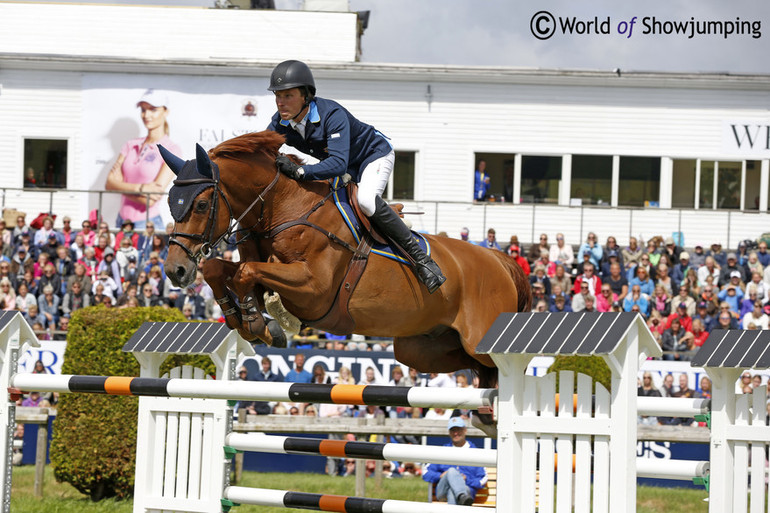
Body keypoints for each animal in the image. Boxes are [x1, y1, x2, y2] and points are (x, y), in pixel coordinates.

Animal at [157, 131, 528, 388]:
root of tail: (500, 260)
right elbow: (220, 269)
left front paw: (261, 323)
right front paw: (246, 319)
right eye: (171, 202)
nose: (176, 271)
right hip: (420, 348)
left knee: (499, 365)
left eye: (201, 205)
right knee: (474, 367)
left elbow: (246, 272)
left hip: (478, 339)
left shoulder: (314, 289)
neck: (283, 208)